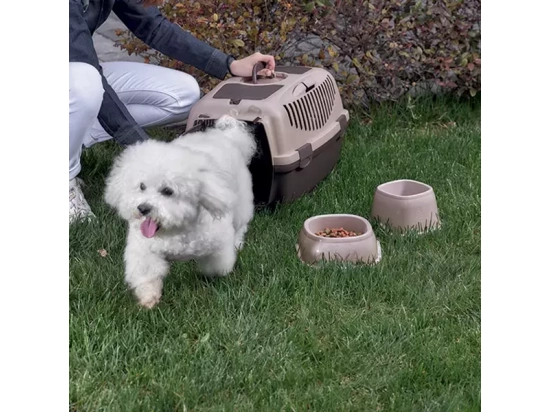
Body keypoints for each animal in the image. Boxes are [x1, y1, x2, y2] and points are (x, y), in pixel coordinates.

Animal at [105, 116, 258, 308]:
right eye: (142, 186)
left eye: (168, 191)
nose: (143, 208)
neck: (175, 230)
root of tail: (227, 136)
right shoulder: (144, 250)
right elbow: (147, 274)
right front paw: (149, 298)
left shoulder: (218, 245)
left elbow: (217, 267)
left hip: (240, 203)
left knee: (241, 225)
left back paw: (237, 242)